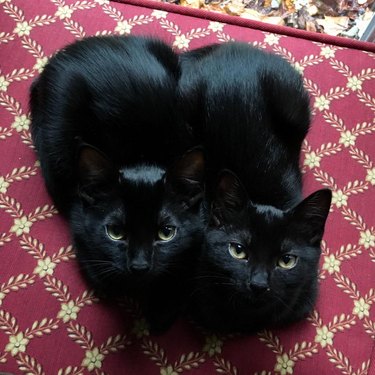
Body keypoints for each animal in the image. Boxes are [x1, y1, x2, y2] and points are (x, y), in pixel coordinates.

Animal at [30, 36, 206, 334]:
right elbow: (98, 268)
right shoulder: (79, 218)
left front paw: (163, 307)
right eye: (115, 232)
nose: (139, 266)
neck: (143, 156)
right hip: (56, 151)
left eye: (166, 233)